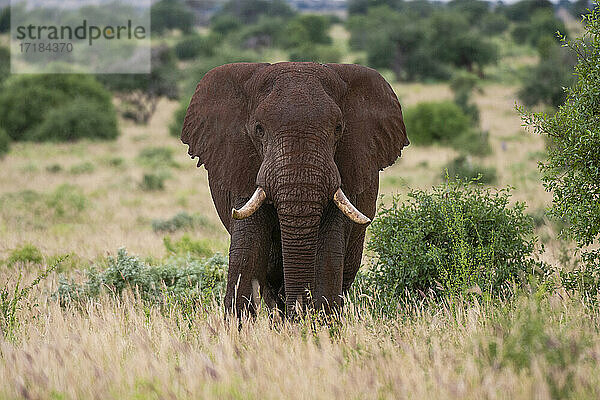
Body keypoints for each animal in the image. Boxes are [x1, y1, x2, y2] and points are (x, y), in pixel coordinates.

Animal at [180, 62, 410, 318]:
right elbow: (247, 252)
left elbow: (327, 254)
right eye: (259, 129)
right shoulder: (241, 165)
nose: (298, 313)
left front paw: (320, 324)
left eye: (338, 128)